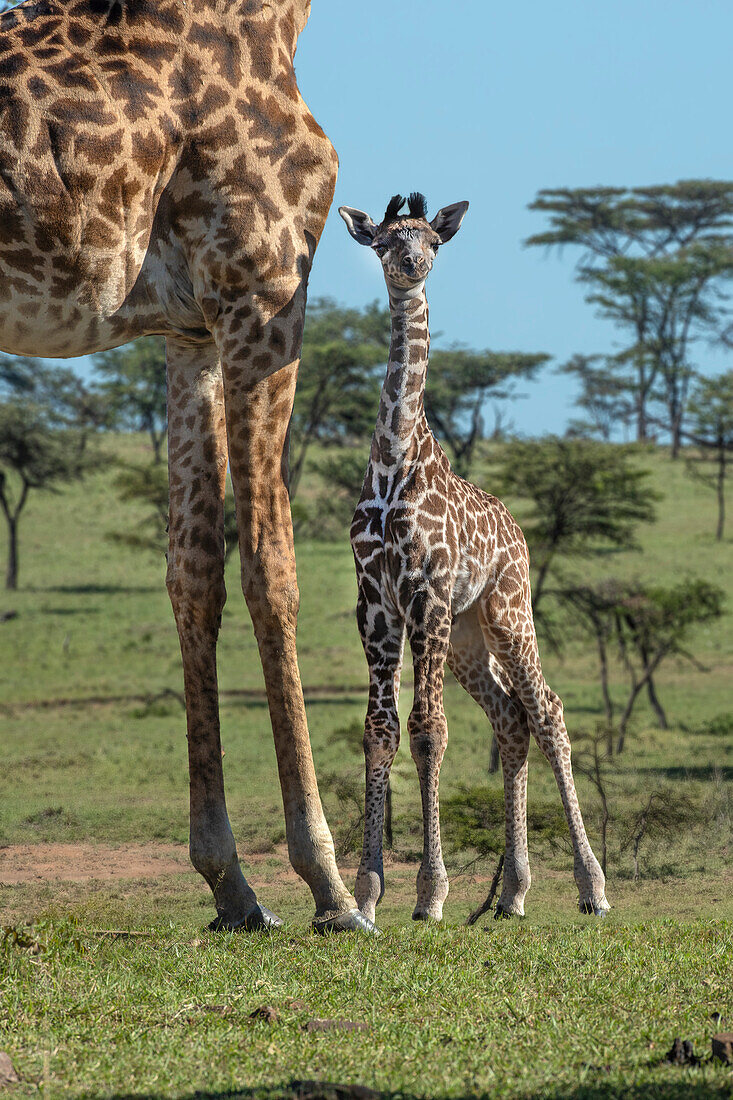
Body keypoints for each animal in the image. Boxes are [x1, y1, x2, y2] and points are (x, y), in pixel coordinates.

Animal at [0, 0, 367, 928]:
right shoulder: (263, 290)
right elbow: (272, 568)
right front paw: (331, 885)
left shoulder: (188, 330)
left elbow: (193, 570)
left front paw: (229, 883)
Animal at [338, 193, 607, 924]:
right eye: (383, 242)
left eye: (431, 239)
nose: (411, 266)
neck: (394, 459)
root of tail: (518, 530)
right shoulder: (375, 603)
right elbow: (379, 730)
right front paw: (366, 895)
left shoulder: (425, 592)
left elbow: (428, 730)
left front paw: (429, 894)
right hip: (465, 634)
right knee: (510, 717)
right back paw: (512, 894)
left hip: (507, 613)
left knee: (547, 710)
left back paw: (592, 888)